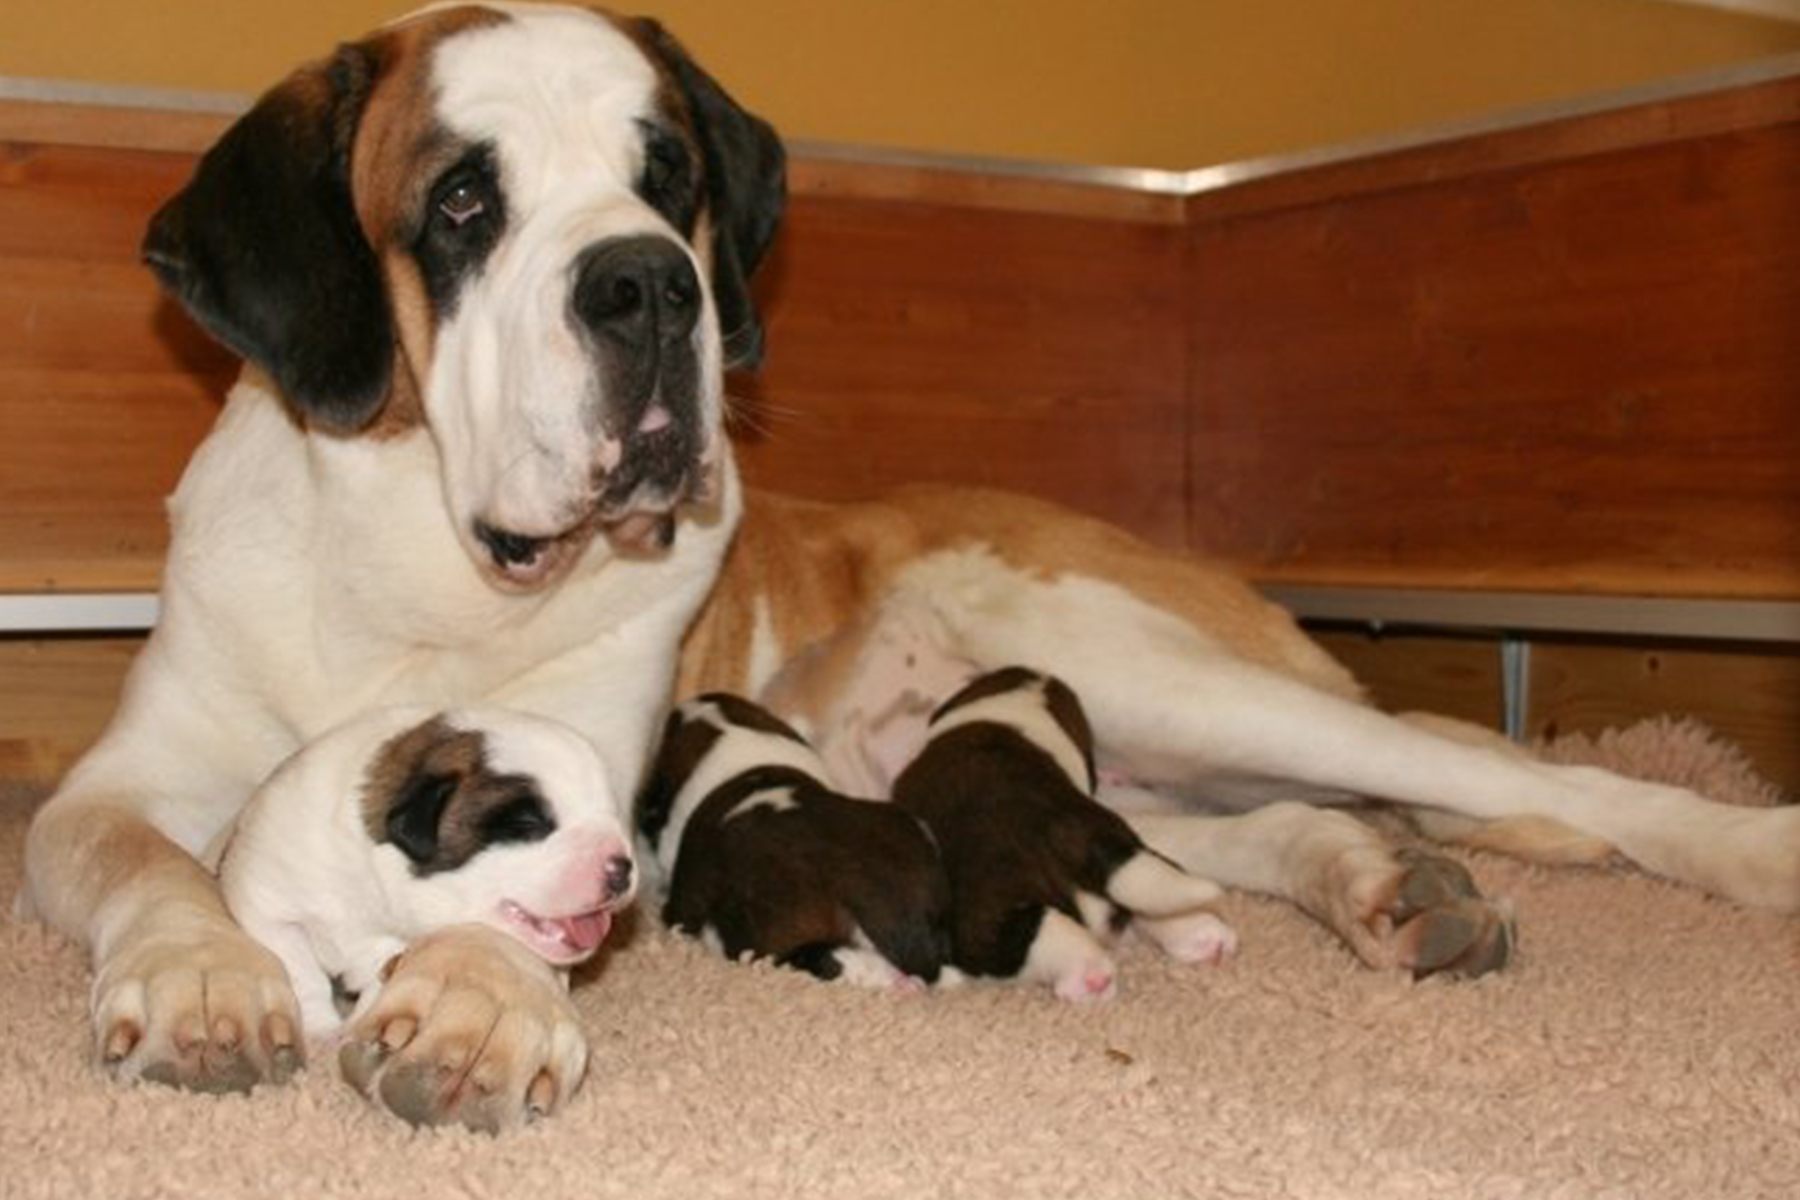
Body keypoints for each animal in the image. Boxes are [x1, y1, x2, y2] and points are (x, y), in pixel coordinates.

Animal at [213, 708, 637, 1036]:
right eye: (528, 825)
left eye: (612, 813)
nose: (623, 868)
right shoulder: (266, 903)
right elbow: (300, 969)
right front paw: (321, 1029)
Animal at [889, 665, 1238, 1007]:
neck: (1020, 699)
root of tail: (1078, 839)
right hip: (1132, 856)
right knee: (1150, 897)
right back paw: (1203, 933)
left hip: (997, 922)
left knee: (1051, 937)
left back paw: (1091, 980)